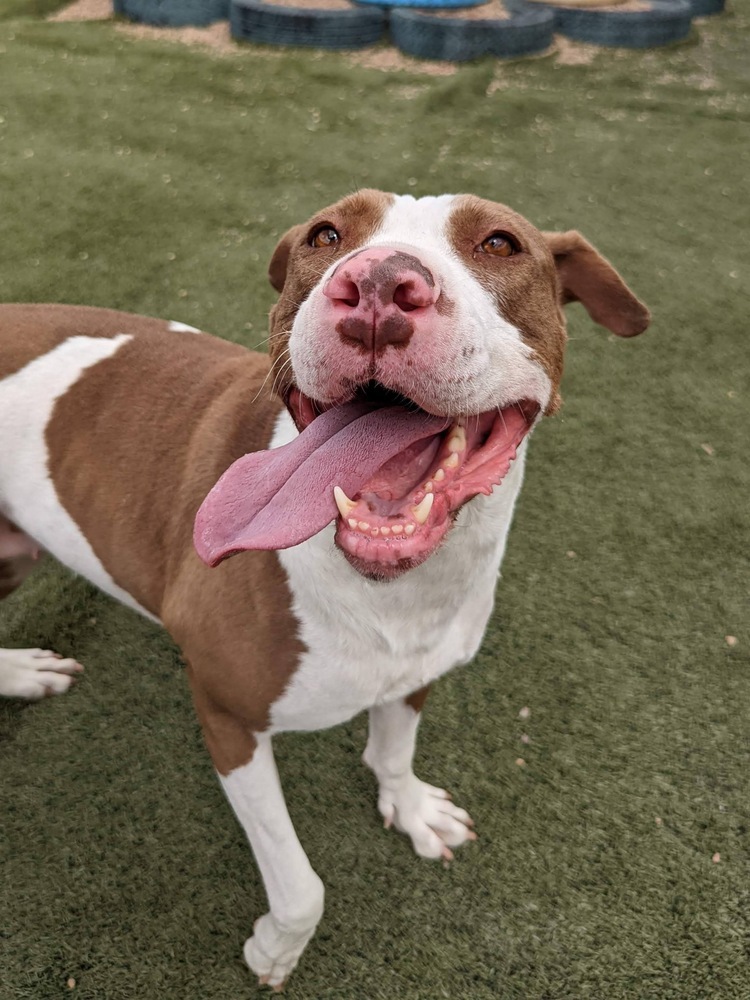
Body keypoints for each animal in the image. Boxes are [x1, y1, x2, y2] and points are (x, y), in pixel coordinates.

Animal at [0, 191, 648, 988]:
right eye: (327, 235)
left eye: (501, 243)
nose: (377, 282)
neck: (390, 591)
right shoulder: (228, 715)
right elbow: (300, 882)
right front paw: (276, 949)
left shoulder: (418, 668)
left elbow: (393, 750)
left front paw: (409, 806)